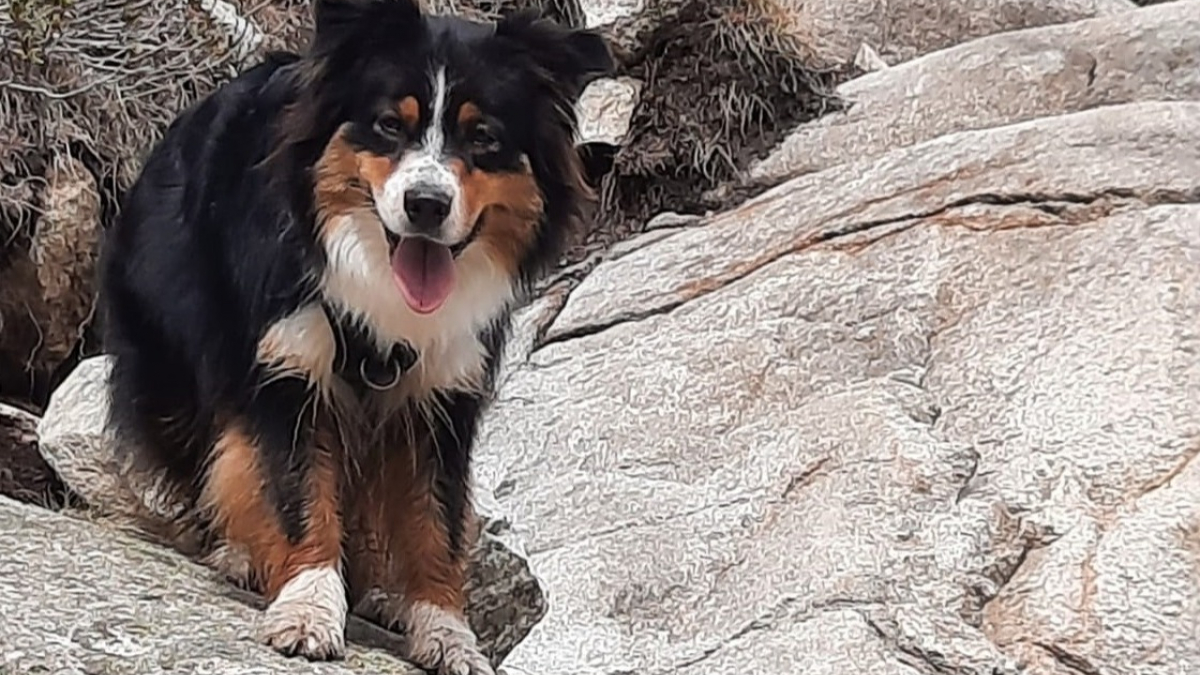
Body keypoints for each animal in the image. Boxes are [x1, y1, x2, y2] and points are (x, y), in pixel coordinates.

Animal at [98, 1, 614, 667]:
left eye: (483, 136)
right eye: (390, 125)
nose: (426, 204)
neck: (382, 291)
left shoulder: (444, 393)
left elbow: (436, 521)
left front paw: (446, 633)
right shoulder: (289, 365)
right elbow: (298, 494)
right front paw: (308, 609)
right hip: (173, 360)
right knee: (207, 445)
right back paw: (239, 552)